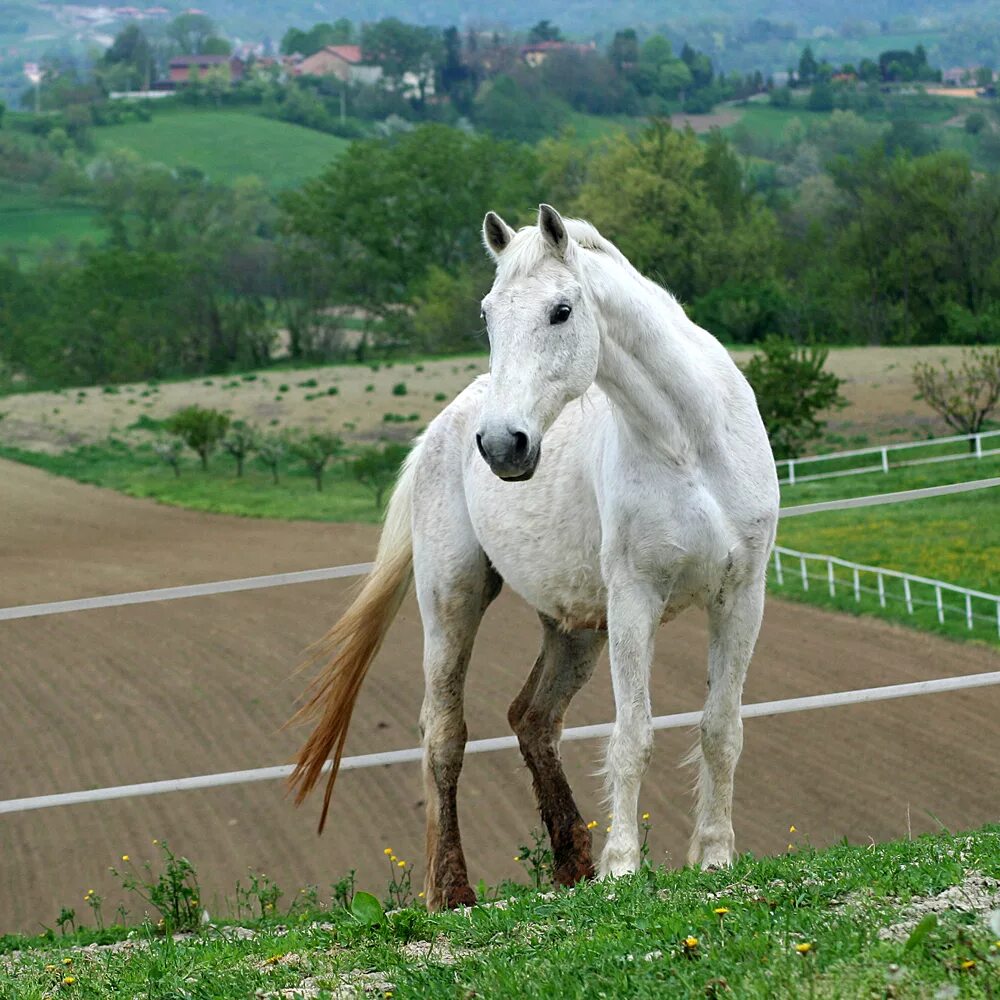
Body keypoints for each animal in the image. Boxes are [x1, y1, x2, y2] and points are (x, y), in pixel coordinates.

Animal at [290, 207, 780, 912]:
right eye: (489, 314)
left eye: (561, 310)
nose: (503, 445)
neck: (691, 441)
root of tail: (445, 425)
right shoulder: (635, 599)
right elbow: (633, 734)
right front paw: (624, 867)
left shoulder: (741, 596)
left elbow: (721, 729)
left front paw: (713, 856)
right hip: (454, 602)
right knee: (445, 734)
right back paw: (452, 890)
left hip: (576, 629)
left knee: (534, 720)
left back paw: (571, 863)